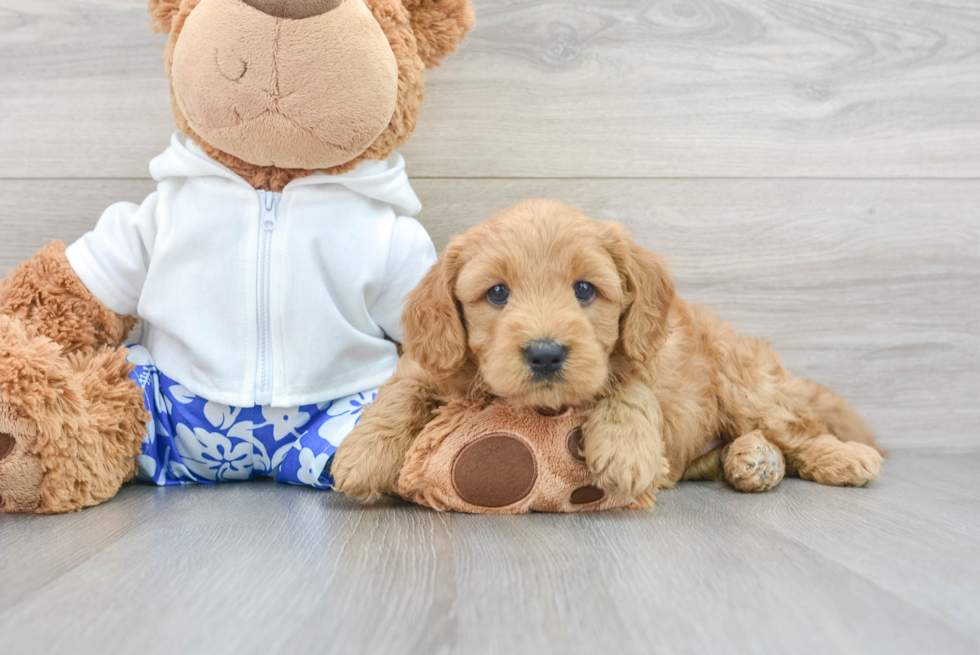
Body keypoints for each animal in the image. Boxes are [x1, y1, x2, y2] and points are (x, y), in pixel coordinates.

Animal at [334, 200, 884, 502]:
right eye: (497, 293)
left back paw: (844, 458)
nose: (545, 354)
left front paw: (625, 452)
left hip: (746, 385)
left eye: (584, 289)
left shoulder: (644, 361)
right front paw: (362, 454)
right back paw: (752, 460)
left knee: (799, 430)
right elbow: (401, 391)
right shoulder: (429, 359)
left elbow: (627, 385)